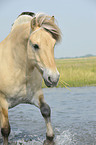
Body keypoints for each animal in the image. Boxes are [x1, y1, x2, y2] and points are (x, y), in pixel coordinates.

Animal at [0, 11, 61, 145]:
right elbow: (5, 129)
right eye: (35, 45)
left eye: (53, 45)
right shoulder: (2, 102)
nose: (53, 78)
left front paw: (49, 139)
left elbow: (46, 110)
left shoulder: (36, 95)